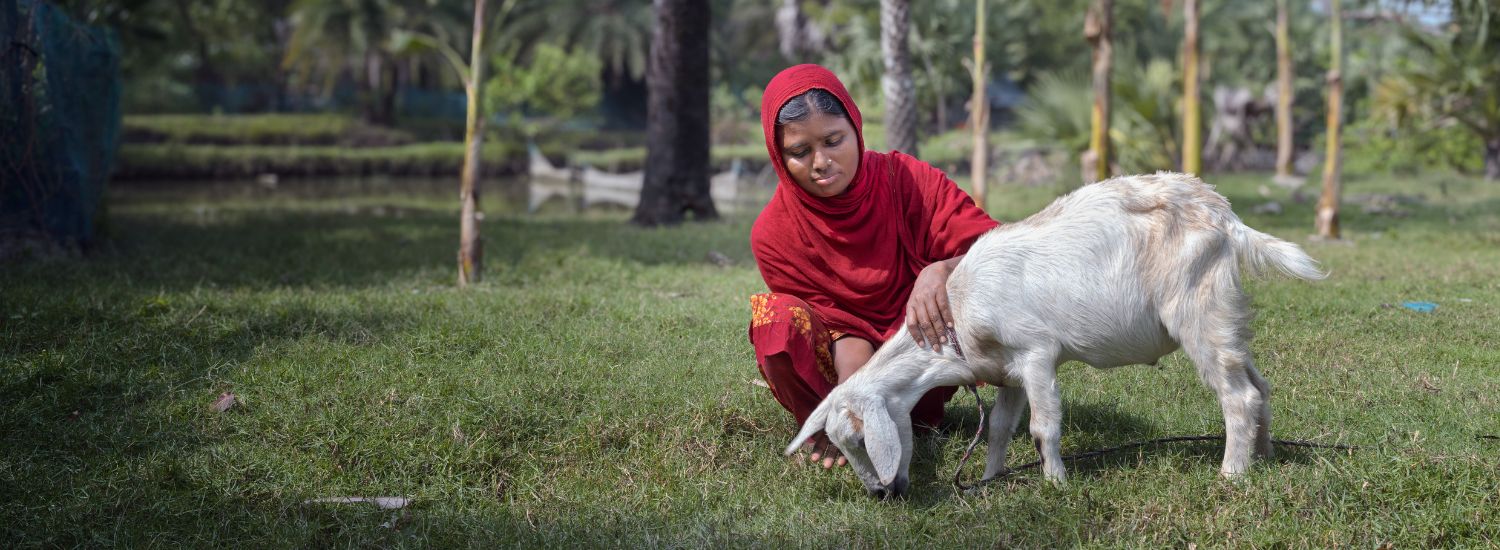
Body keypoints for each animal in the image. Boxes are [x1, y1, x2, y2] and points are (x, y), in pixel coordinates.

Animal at [786, 173, 1326, 500]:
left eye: (860, 438)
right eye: (840, 444)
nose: (881, 493)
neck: (958, 310)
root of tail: (1229, 219)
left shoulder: (1035, 354)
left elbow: (1043, 427)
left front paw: (1056, 484)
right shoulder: (1005, 373)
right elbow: (999, 428)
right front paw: (991, 478)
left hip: (1197, 308)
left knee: (1237, 395)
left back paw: (1231, 474)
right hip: (1224, 316)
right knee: (1257, 385)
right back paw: (1264, 455)